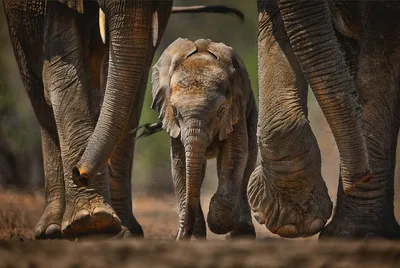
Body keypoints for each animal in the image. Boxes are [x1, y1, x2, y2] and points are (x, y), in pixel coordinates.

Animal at [152, 38, 258, 241]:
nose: (181, 236)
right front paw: (193, 237)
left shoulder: (236, 111)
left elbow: (235, 155)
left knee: (247, 164)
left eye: (221, 111)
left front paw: (217, 223)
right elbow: (181, 164)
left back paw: (242, 234)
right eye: (175, 111)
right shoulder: (175, 126)